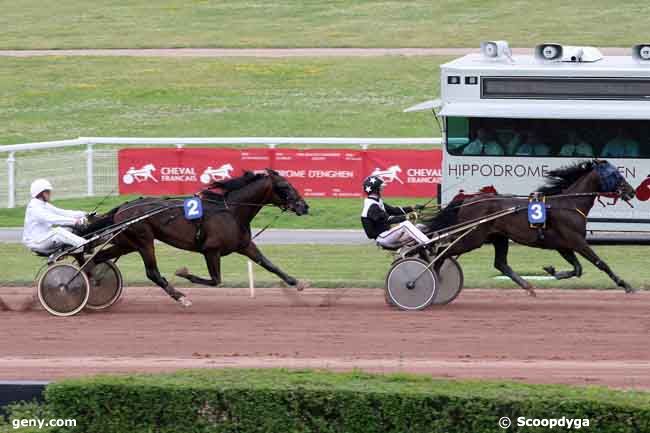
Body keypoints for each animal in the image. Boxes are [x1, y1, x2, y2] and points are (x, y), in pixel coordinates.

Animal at [85, 169, 308, 308]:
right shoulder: (211, 250)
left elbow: (269, 264)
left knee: (97, 259)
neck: (231, 211)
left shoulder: (244, 245)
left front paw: (296, 282)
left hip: (127, 243)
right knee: (152, 273)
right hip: (143, 240)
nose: (304, 206)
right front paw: (183, 273)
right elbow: (216, 280)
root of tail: (122, 208)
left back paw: (91, 281)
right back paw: (180, 298)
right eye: (285, 186)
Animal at [422, 160, 636, 296]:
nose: (631, 191)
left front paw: (552, 271)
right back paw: (434, 278)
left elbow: (577, 269)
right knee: (442, 252)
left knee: (501, 264)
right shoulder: (576, 241)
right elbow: (600, 263)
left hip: (498, 237)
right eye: (616, 174)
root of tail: (468, 199)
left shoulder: (563, 245)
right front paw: (626, 285)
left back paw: (528, 286)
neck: (569, 203)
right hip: (472, 238)